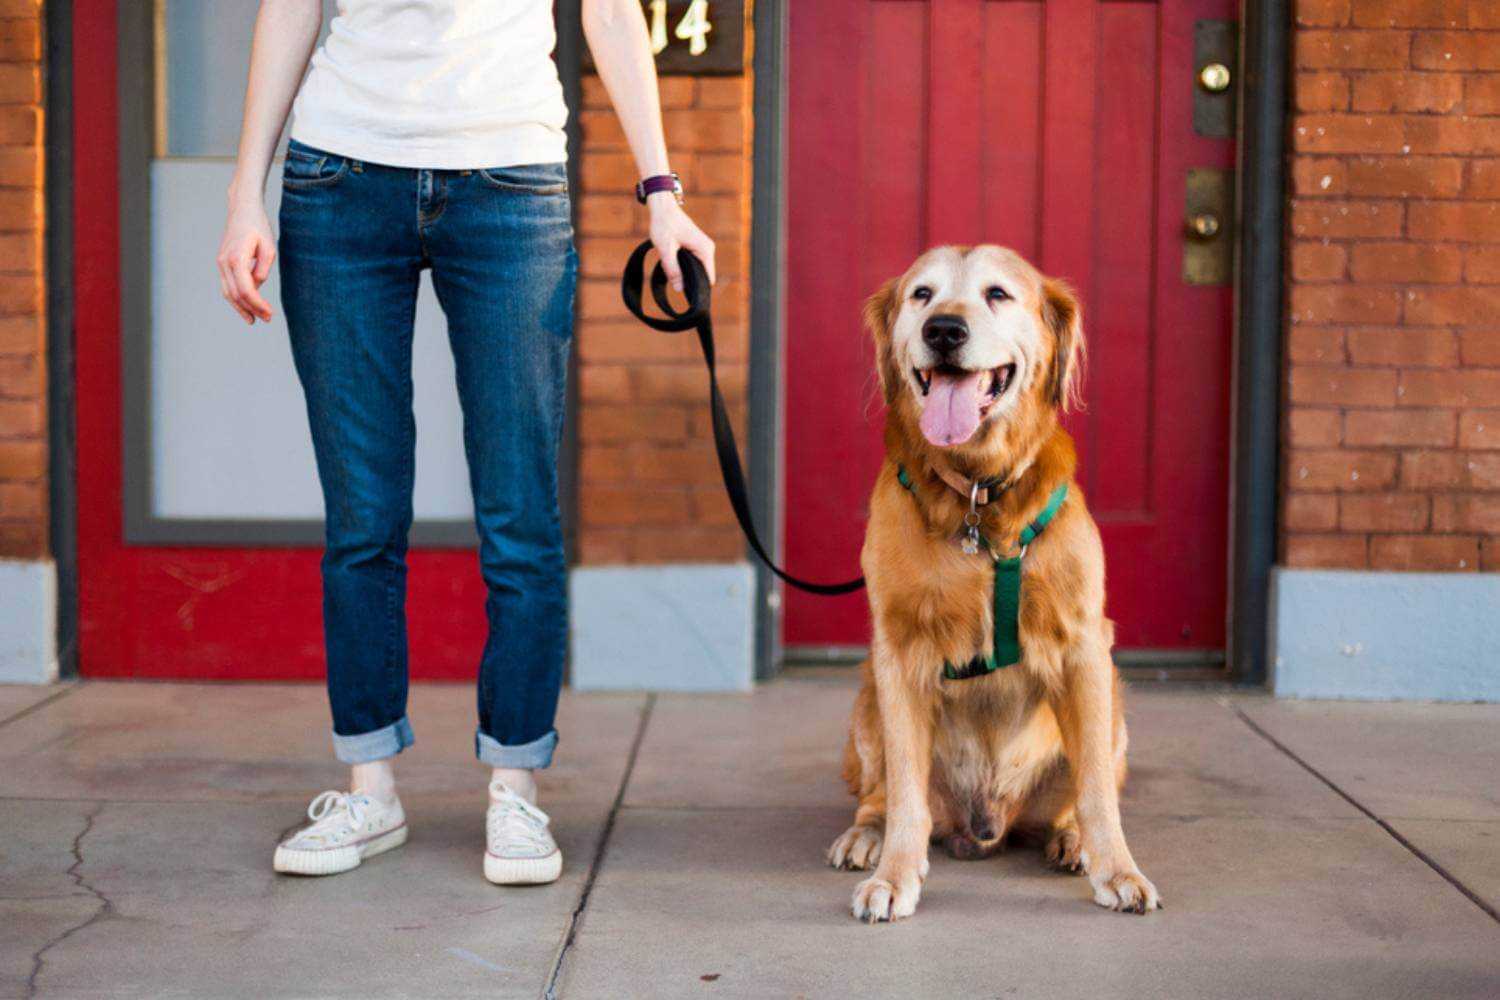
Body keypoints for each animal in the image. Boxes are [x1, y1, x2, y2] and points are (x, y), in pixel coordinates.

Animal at [822, 244, 1158, 923]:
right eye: (921, 294)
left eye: (997, 294)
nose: (944, 331)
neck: (978, 497)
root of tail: (986, 821)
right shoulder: (898, 653)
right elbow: (905, 791)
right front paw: (895, 875)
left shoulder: (1085, 648)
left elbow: (1096, 791)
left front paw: (1117, 868)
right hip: (867, 695)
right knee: (881, 795)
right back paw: (866, 835)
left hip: (1112, 700)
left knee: (1080, 793)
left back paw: (1072, 840)